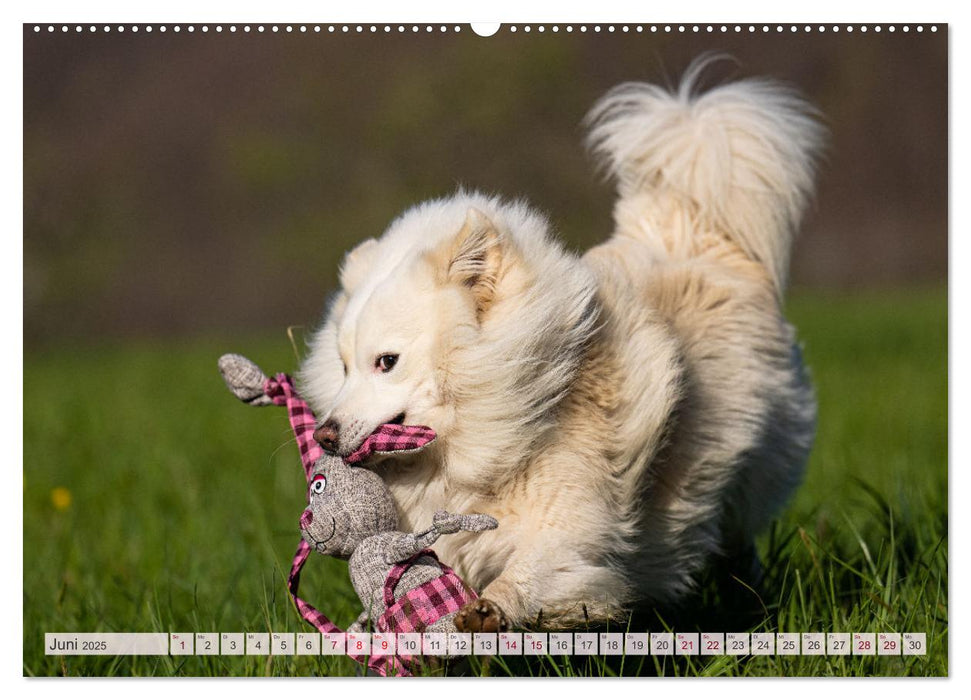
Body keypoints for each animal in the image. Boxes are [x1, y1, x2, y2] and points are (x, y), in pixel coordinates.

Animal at [300, 61, 824, 628]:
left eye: (387, 362)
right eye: (344, 368)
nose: (324, 435)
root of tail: (695, 232)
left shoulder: (569, 526)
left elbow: (531, 573)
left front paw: (490, 611)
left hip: (742, 476)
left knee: (738, 540)